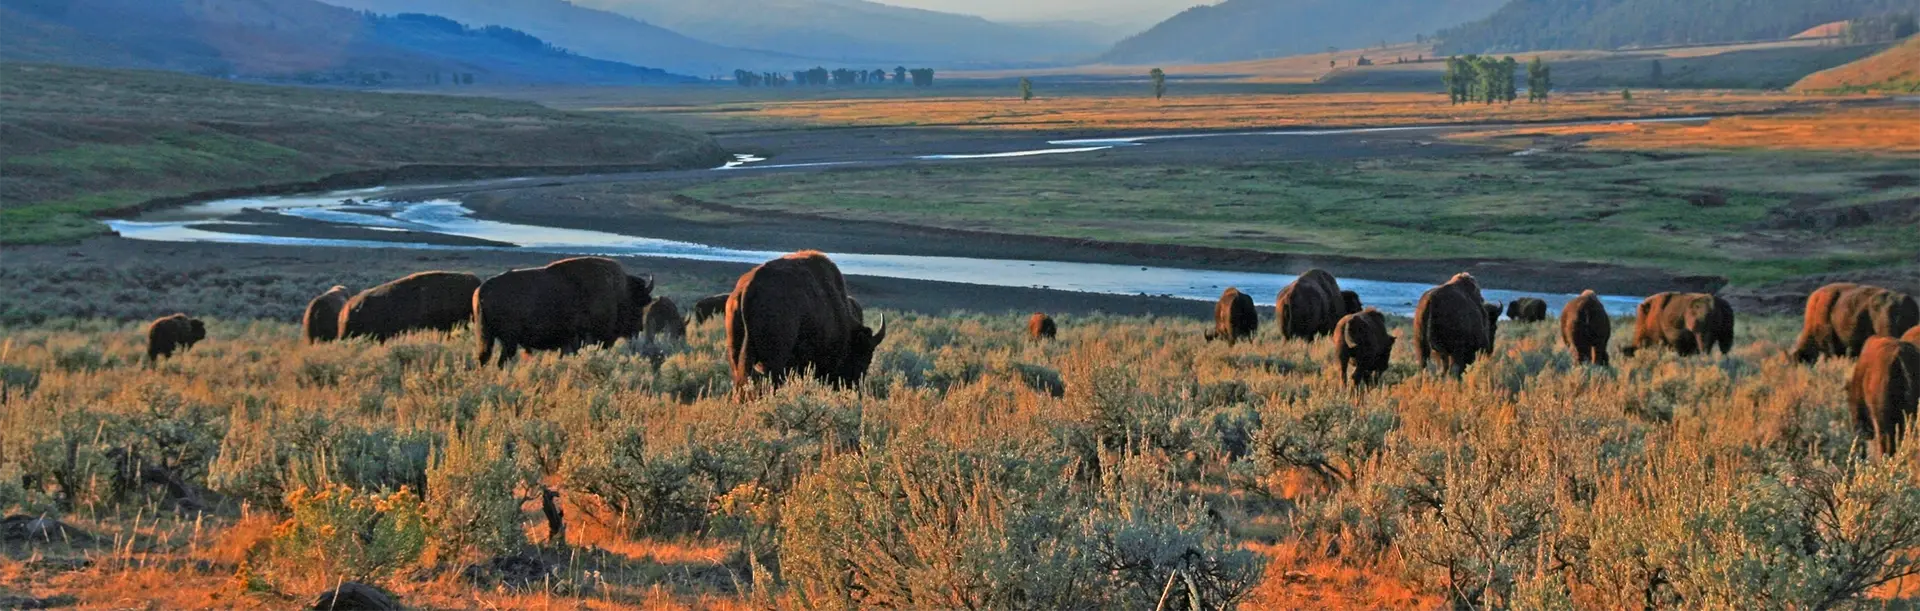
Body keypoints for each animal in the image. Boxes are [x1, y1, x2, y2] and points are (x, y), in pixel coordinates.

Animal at [472, 257, 652, 365]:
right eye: (638, 304)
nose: (639, 328)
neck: (619, 293)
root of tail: (482, 290)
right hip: (509, 341)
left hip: (488, 337)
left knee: (485, 358)